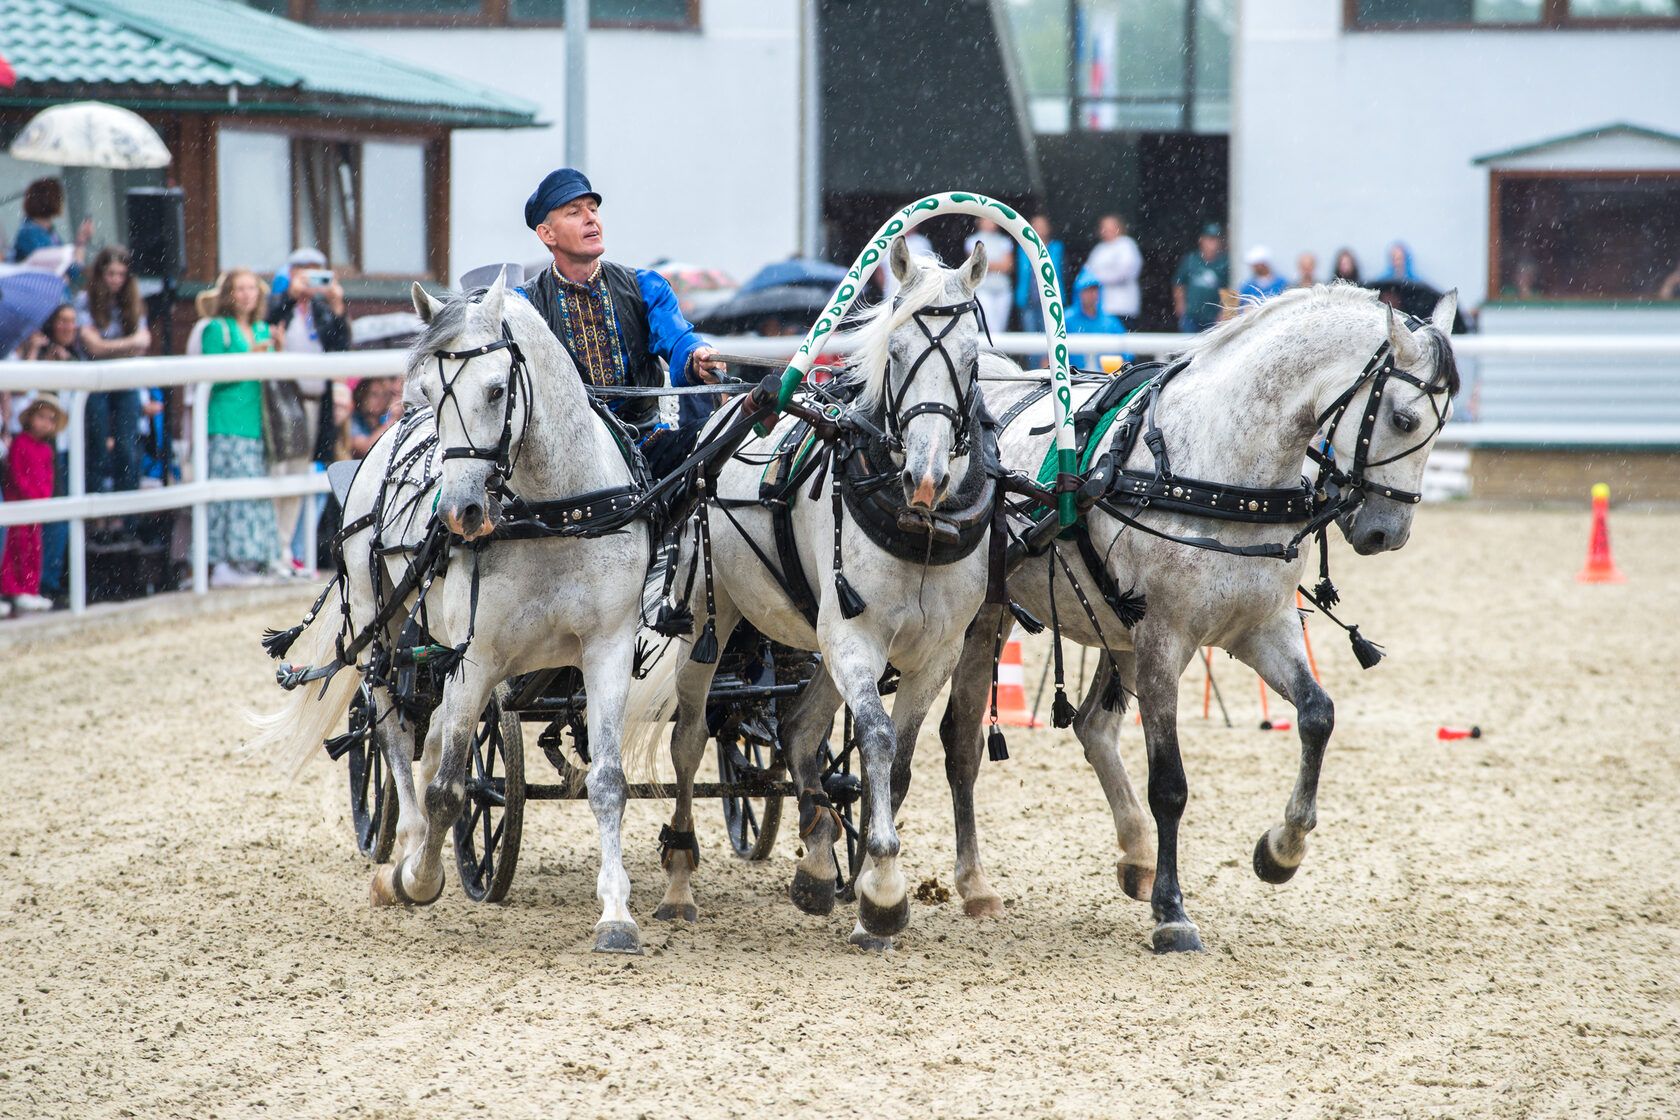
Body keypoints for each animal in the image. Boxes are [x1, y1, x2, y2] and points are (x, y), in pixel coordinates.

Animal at [251, 278, 651, 953]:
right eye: (433, 392)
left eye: (496, 389)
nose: (459, 511)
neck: (555, 515)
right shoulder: (477, 657)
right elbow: (445, 790)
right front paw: (418, 878)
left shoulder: (609, 648)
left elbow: (607, 781)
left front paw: (617, 912)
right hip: (380, 624)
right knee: (391, 726)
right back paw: (408, 847)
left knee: (432, 731)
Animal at [651, 241, 994, 953]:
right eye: (894, 350)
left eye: (972, 358)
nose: (925, 478)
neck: (922, 527)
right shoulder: (855, 636)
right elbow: (878, 737)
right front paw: (884, 892)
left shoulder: (937, 652)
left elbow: (895, 761)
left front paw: (863, 885)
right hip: (706, 615)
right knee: (691, 739)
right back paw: (679, 882)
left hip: (820, 637)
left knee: (800, 729)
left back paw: (815, 861)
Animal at [940, 285, 1464, 953]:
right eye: (1403, 419)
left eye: (1442, 424)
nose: (1386, 533)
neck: (1223, 464)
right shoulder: (1165, 639)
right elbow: (1170, 784)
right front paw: (1172, 912)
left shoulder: (1262, 629)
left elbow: (1318, 716)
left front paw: (1281, 850)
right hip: (987, 617)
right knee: (961, 742)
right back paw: (971, 884)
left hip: (1115, 630)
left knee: (1092, 728)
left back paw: (1136, 856)